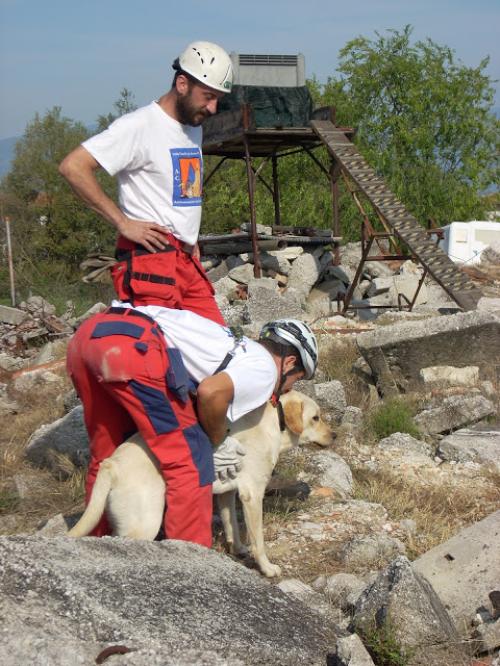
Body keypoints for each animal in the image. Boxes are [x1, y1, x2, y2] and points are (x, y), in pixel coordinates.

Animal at [66, 390, 332, 576]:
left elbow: (231, 526)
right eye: (315, 418)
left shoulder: (227, 493)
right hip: (145, 523)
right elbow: (258, 541)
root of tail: (112, 464)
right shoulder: (253, 495)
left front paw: (238, 549)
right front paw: (267, 568)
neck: (276, 423)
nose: (335, 435)